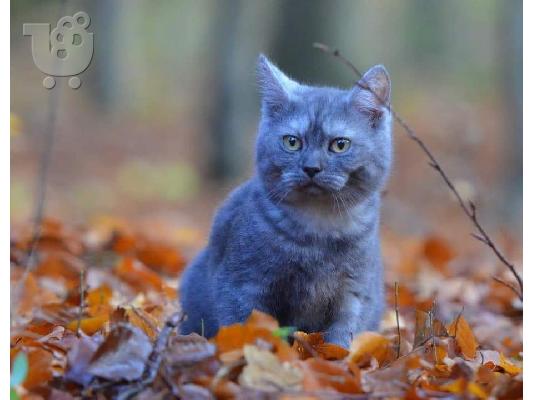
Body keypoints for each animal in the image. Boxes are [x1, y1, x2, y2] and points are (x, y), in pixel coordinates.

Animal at [180, 54, 394, 348]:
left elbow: (343, 334)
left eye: (340, 145)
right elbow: (248, 326)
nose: (311, 168)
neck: (318, 231)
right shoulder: (243, 283)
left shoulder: (354, 291)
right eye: (292, 142)